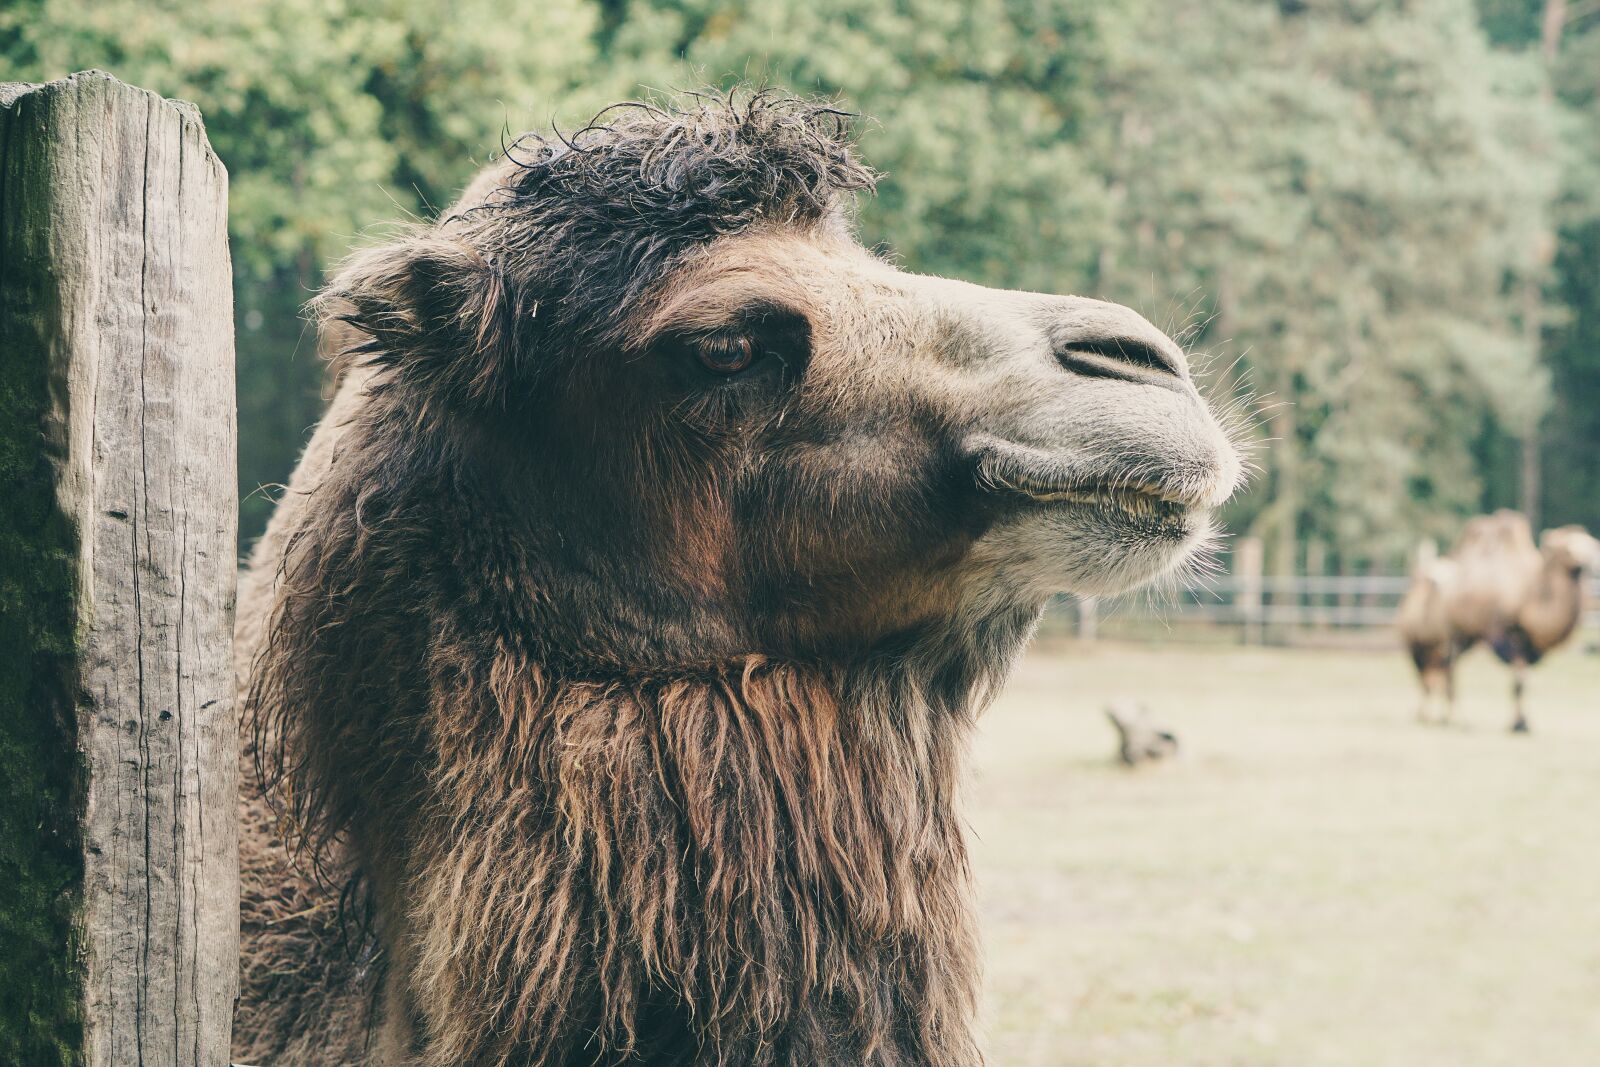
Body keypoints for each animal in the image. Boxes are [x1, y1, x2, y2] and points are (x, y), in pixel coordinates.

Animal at [1399, 509, 1599, 732]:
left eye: (1590, 542)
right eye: (1567, 548)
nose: (1593, 560)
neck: (1530, 598)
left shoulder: (1530, 646)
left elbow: (1525, 681)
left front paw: (1523, 722)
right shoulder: (1511, 634)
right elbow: (1519, 682)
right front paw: (1518, 725)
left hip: (1464, 637)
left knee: (1442, 671)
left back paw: (1443, 716)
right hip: (1442, 637)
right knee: (1441, 671)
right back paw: (1449, 716)